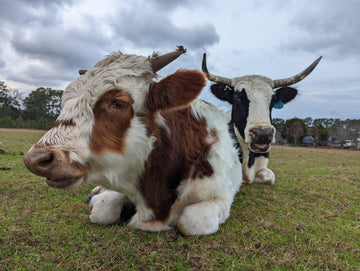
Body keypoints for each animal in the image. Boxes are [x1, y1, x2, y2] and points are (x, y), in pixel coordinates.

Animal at [23, 46, 242, 236]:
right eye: (64, 102)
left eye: (118, 103)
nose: (36, 158)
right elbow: (101, 210)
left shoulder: (220, 196)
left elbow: (192, 222)